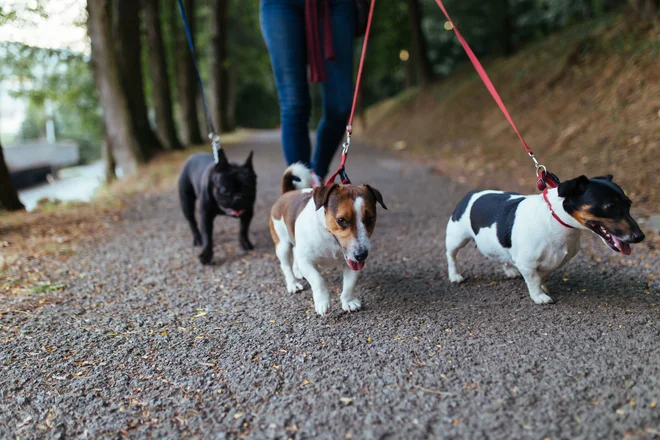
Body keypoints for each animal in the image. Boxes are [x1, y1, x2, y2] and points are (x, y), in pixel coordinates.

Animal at [268, 163, 386, 314]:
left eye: (370, 219)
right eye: (341, 220)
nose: (361, 255)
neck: (329, 237)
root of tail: (287, 193)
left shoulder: (352, 263)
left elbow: (349, 284)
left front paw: (348, 301)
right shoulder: (306, 261)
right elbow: (318, 280)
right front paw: (322, 302)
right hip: (282, 244)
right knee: (285, 264)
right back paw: (293, 283)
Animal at [446, 174, 640, 304]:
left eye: (629, 204)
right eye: (610, 207)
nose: (640, 236)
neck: (555, 219)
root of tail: (472, 193)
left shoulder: (555, 260)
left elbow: (542, 275)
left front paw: (542, 286)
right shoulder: (527, 263)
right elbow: (533, 280)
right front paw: (539, 296)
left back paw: (509, 270)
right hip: (456, 239)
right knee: (452, 256)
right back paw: (455, 275)